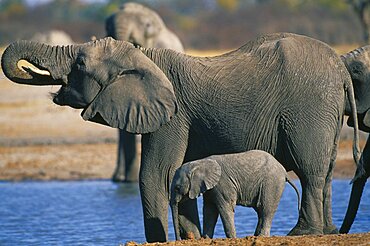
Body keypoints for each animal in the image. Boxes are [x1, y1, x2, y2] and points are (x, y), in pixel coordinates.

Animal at [171, 149, 300, 239]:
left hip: (272, 183)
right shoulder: (210, 188)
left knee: (266, 209)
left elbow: (225, 208)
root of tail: (284, 171)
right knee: (260, 210)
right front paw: (206, 239)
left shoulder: (222, 184)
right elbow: (209, 211)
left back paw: (261, 236)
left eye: (177, 188)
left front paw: (232, 238)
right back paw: (255, 236)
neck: (200, 163)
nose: (178, 239)